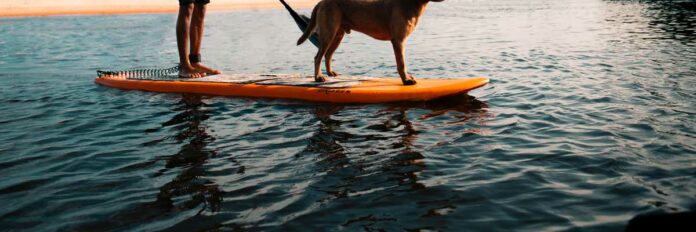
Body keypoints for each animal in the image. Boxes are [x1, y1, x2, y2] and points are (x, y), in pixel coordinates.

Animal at [296, 0, 444, 85]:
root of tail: (321, 2)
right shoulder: (398, 40)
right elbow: (401, 64)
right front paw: (406, 80)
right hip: (328, 34)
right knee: (318, 57)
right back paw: (318, 77)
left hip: (337, 35)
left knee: (327, 55)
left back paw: (330, 73)